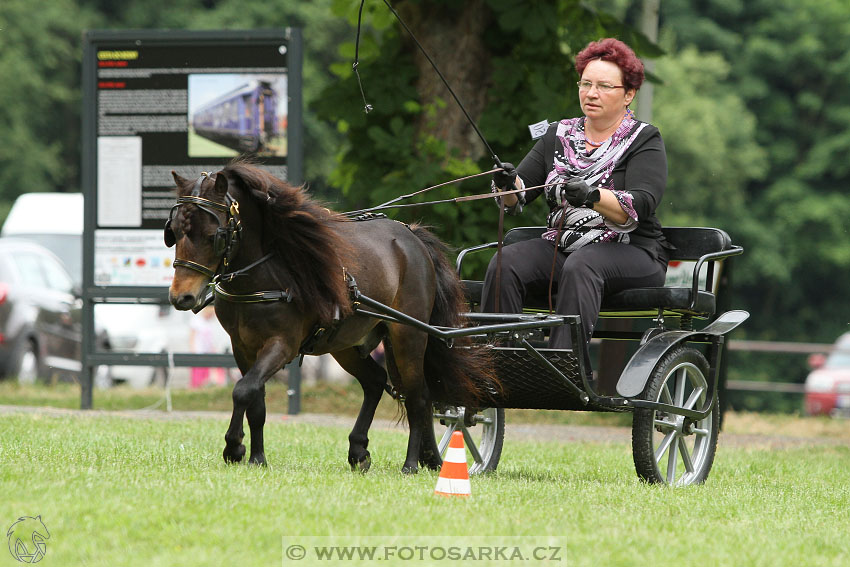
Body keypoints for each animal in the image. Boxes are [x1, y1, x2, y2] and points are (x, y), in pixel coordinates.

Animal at [165, 162, 494, 472]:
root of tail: (410, 235)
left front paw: (234, 448)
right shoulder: (242, 347)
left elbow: (243, 390)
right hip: (345, 343)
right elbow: (254, 399)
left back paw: (411, 464)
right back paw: (360, 450)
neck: (265, 276)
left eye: (214, 236)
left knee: (418, 396)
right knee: (375, 381)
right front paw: (256, 457)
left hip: (408, 334)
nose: (182, 297)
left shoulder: (282, 345)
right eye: (175, 232)